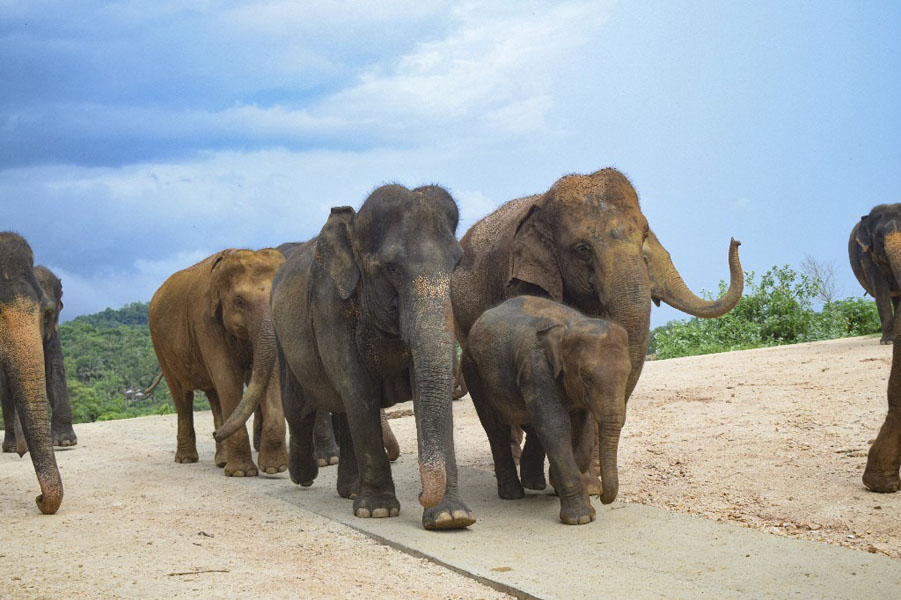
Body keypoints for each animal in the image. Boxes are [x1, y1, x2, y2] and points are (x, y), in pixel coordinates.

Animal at [2, 265, 77, 452]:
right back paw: (11, 446)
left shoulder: (53, 332)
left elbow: (53, 369)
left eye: (48, 313)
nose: (23, 450)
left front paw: (65, 442)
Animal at [148, 248, 288, 476]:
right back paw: (186, 459)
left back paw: (221, 460)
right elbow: (228, 377)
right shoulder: (204, 320)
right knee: (181, 396)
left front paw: (275, 468)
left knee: (214, 394)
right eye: (239, 301)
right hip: (160, 346)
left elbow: (273, 375)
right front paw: (242, 473)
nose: (215, 433)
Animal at [215, 184, 475, 530]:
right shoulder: (329, 308)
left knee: (342, 411)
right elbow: (359, 390)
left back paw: (350, 490)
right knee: (300, 406)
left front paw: (451, 517)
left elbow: (421, 392)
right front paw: (378, 511)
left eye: (456, 264)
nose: (423, 496)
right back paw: (304, 475)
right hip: (283, 338)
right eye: (391, 267)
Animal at [462, 295, 631, 525]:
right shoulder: (536, 369)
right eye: (586, 377)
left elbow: (581, 431)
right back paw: (512, 494)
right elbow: (555, 426)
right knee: (495, 429)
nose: (603, 497)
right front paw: (581, 518)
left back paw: (535, 485)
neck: (570, 325)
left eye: (628, 374)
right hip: (472, 370)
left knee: (531, 425)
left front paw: (560, 488)